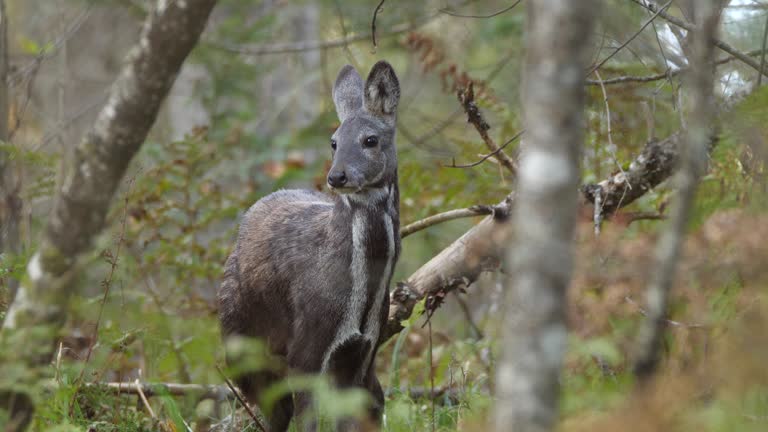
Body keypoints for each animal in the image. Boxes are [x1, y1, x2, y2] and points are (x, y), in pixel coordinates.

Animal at [218, 61, 402, 432]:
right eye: (333, 142)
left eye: (370, 139)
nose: (337, 177)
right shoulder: (306, 349)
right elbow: (308, 420)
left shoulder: (363, 354)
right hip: (242, 343)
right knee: (273, 409)